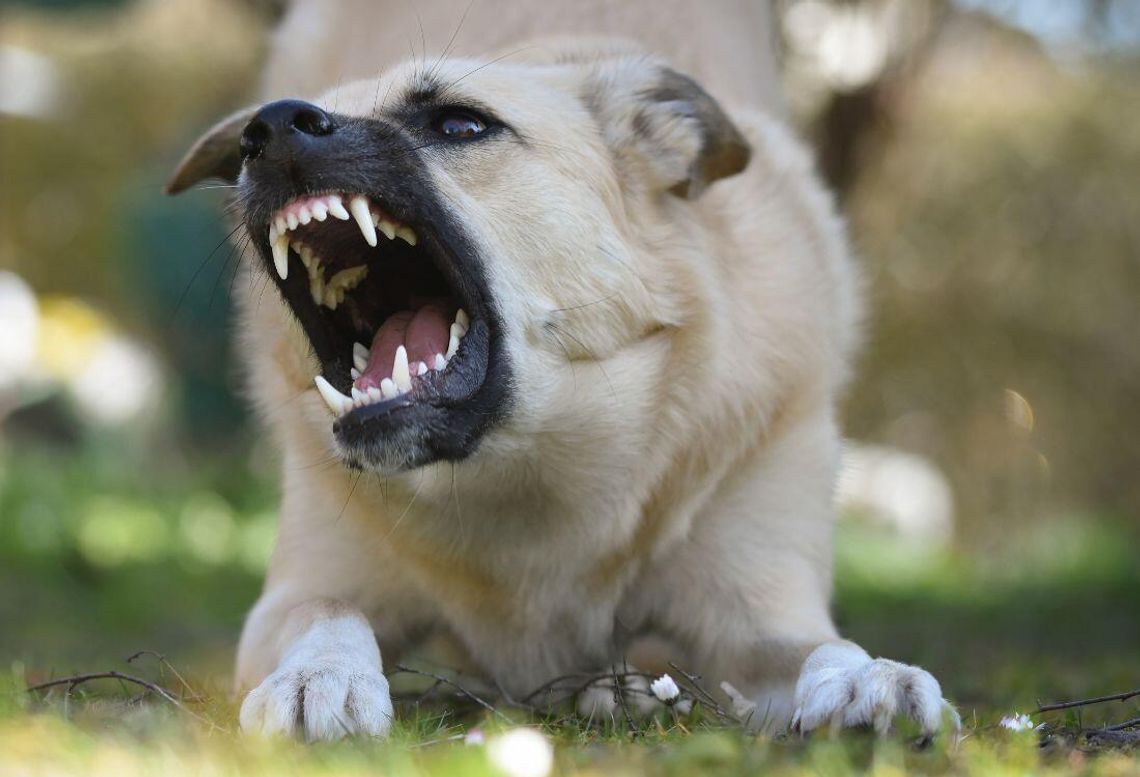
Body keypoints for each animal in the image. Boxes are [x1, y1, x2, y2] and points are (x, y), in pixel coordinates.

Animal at [166, 34, 953, 738]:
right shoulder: (301, 590)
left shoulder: (759, 608)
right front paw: (318, 676)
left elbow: (817, 644)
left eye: (460, 124)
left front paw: (866, 678)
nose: (268, 128)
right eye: (254, 133)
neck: (521, 472)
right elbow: (327, 614)